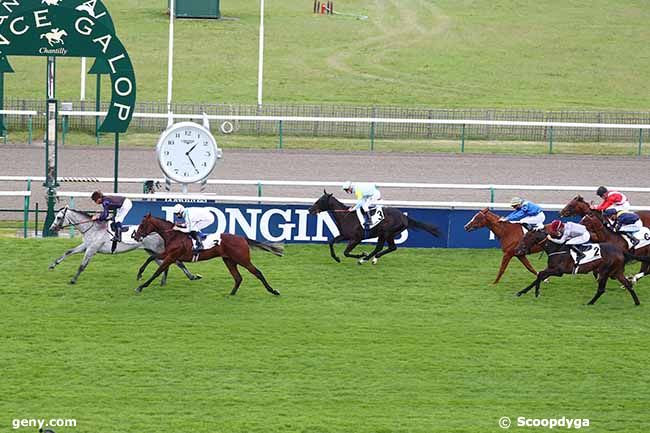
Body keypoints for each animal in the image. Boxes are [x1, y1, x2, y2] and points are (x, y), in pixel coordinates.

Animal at [48, 208, 201, 286]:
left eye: (59, 217)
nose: (51, 228)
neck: (93, 228)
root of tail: (159, 232)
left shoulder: (92, 249)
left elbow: (82, 266)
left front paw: (73, 280)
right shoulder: (86, 245)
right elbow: (68, 252)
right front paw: (53, 264)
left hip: (159, 250)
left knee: (177, 262)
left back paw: (191, 276)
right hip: (150, 250)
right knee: (165, 264)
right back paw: (164, 281)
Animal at [132, 213, 280, 296]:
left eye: (142, 224)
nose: (136, 236)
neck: (174, 235)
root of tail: (242, 238)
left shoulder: (171, 256)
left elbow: (157, 271)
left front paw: (141, 287)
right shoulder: (168, 254)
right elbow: (151, 257)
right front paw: (139, 274)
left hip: (242, 259)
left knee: (257, 272)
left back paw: (273, 291)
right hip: (229, 260)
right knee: (238, 278)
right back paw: (231, 294)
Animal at [308, 192, 440, 264]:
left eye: (320, 201)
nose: (310, 210)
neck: (346, 216)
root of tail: (404, 217)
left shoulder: (356, 239)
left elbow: (346, 252)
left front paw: (360, 254)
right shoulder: (344, 235)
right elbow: (331, 242)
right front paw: (336, 258)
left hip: (388, 233)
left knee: (391, 247)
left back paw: (365, 259)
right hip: (383, 234)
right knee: (380, 247)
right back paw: (370, 259)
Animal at [512, 226, 644, 304]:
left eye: (526, 237)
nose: (517, 250)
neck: (556, 247)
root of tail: (620, 250)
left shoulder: (558, 271)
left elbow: (540, 275)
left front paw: (537, 293)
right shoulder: (551, 268)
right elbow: (538, 276)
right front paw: (521, 292)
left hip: (605, 271)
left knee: (601, 289)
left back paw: (590, 303)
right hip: (616, 272)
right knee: (628, 285)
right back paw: (637, 303)